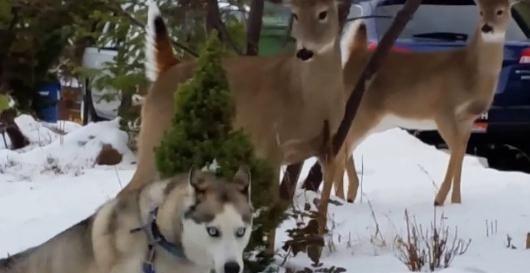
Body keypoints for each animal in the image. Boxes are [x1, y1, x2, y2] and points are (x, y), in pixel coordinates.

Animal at [330, 0, 524, 205]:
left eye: (500, 11)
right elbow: (456, 151)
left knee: (343, 146)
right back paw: (341, 197)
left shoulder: (467, 119)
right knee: (342, 147)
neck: (468, 73)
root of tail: (353, 56)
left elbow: (461, 153)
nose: (487, 27)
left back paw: (346, 195)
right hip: (364, 112)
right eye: (480, 12)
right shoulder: (443, 110)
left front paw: (456, 201)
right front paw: (439, 199)